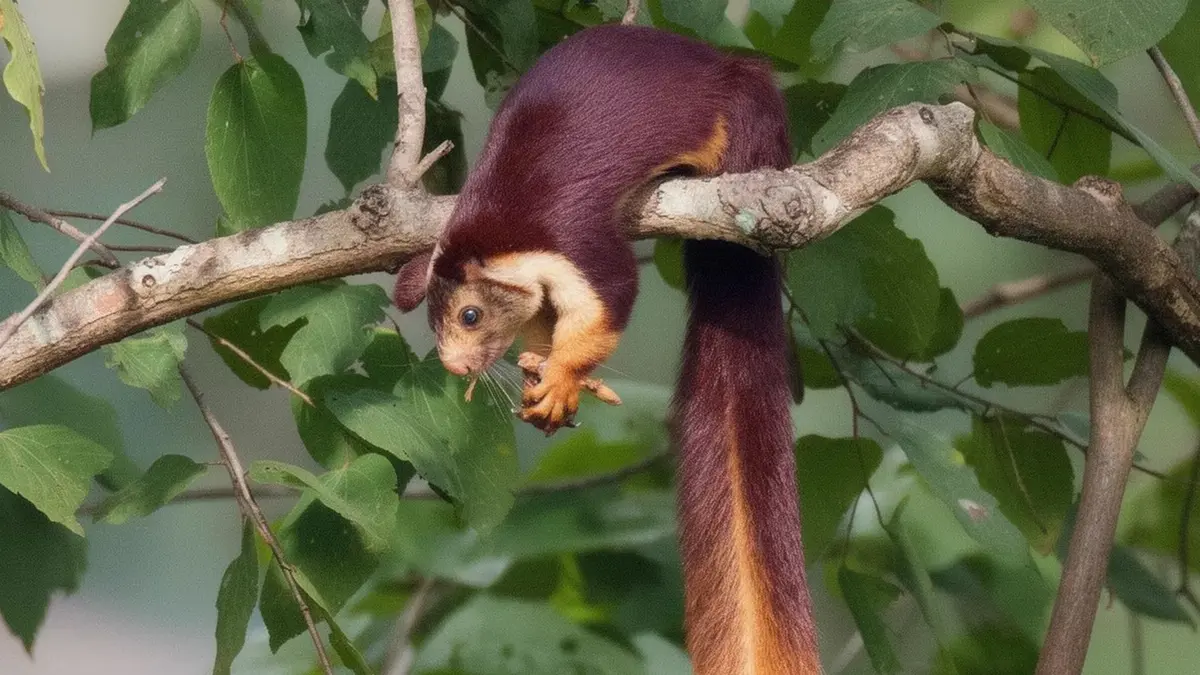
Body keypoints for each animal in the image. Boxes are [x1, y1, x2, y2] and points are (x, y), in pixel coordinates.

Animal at [393, 23, 821, 675]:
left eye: (470, 315)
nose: (454, 363)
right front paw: (538, 369)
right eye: (433, 323)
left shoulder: (577, 242)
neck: (497, 223)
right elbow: (546, 321)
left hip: (749, 123)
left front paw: (561, 379)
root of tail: (733, 63)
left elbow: (609, 297)